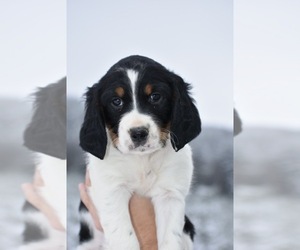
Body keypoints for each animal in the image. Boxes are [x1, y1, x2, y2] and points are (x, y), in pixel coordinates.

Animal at [79, 55, 202, 249]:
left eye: (155, 97)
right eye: (116, 101)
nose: (138, 133)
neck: (142, 160)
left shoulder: (170, 194)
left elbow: (169, 239)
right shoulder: (111, 191)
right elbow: (124, 237)